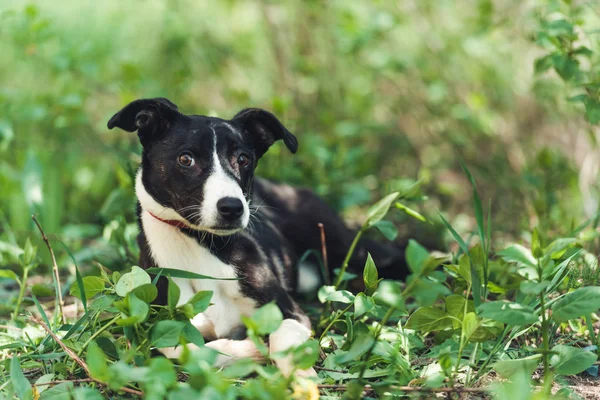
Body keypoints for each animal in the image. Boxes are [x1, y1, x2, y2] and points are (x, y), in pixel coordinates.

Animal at [108, 98, 408, 376]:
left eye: (244, 159)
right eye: (185, 159)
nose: (232, 207)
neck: (200, 247)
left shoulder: (289, 311)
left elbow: (282, 338)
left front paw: (297, 372)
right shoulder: (159, 322)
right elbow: (185, 349)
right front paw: (250, 350)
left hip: (345, 245)